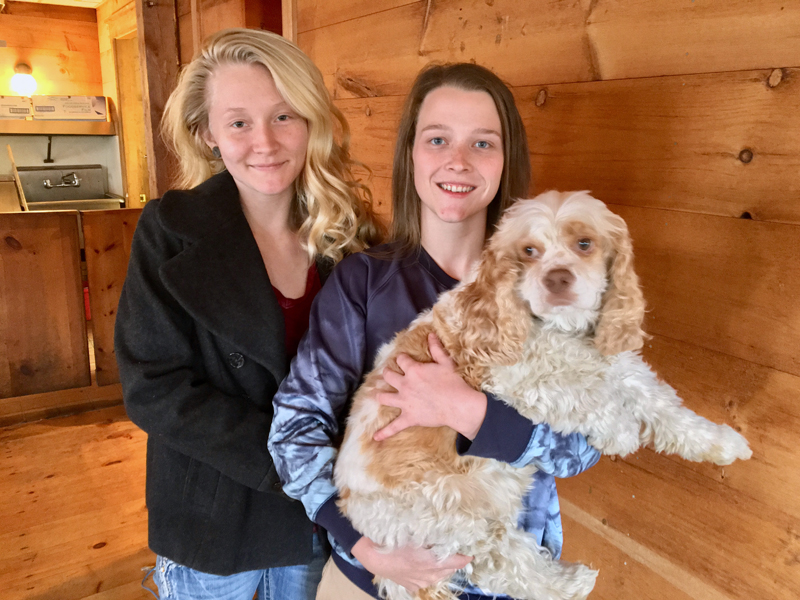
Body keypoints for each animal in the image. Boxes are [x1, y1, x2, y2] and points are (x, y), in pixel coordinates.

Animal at [334, 191, 752, 600]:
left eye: (584, 243)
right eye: (530, 251)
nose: (557, 278)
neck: (563, 330)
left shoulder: (617, 366)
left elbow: (662, 405)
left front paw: (721, 442)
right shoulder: (510, 379)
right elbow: (584, 394)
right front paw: (621, 430)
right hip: (452, 514)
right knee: (506, 564)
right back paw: (569, 583)